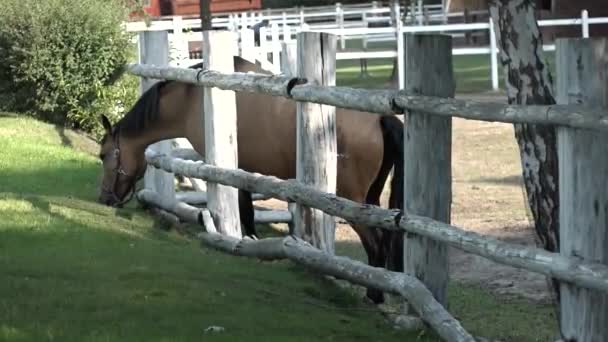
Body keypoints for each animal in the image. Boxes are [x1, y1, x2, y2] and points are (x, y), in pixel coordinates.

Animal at [97, 54, 406, 304]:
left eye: (103, 155)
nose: (104, 199)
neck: (191, 99)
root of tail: (381, 119)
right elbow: (247, 211)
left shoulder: (233, 169)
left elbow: (244, 210)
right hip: (371, 199)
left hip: (350, 201)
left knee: (375, 244)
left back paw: (373, 295)